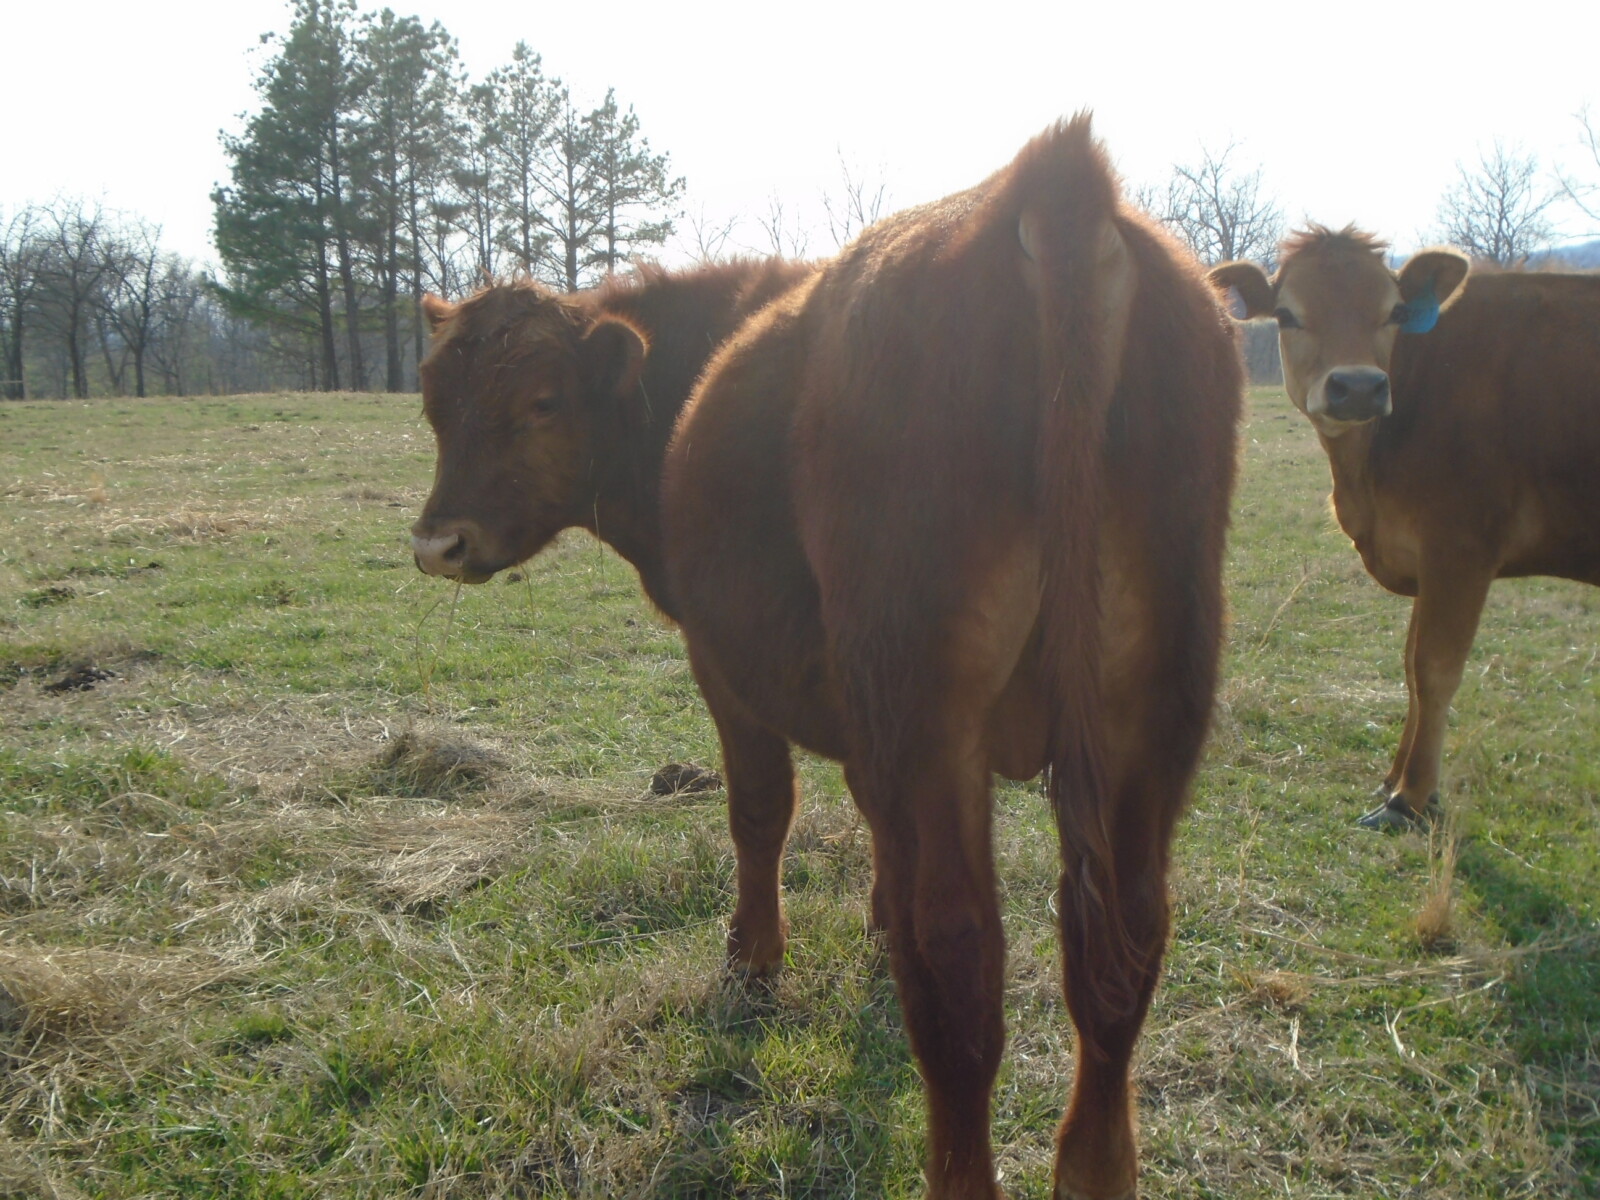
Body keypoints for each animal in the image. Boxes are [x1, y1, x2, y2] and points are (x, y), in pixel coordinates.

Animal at [412, 117, 1243, 1200]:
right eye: (433, 402)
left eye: (542, 401)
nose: (439, 542)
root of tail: (1043, 181)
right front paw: (871, 920)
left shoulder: (726, 664)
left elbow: (760, 813)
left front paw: (754, 957)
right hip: (1145, 708)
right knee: (1117, 951)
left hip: (927, 703)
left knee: (959, 962)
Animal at [1212, 228, 1600, 830]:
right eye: (1286, 314)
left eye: (1394, 311)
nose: (1358, 387)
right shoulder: (1425, 557)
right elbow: (1412, 669)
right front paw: (1395, 779)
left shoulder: (1460, 548)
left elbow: (1435, 669)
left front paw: (1411, 799)